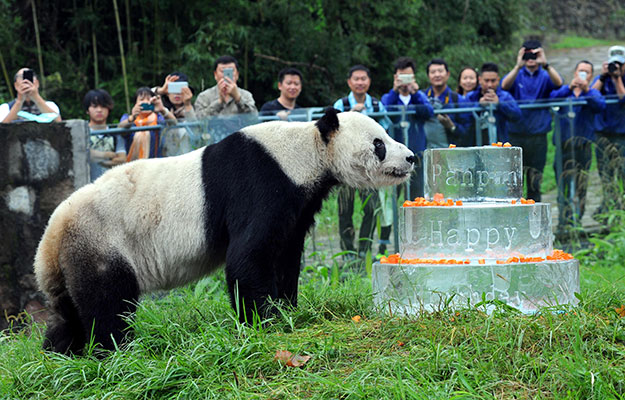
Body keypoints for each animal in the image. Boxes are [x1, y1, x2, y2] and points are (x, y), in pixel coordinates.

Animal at [34, 107, 414, 354]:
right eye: (379, 143)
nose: (410, 158)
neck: (306, 151)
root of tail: (50, 237)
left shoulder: (297, 203)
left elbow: (285, 253)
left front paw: (287, 308)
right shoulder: (260, 181)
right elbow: (248, 255)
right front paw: (264, 320)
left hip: (73, 258)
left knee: (69, 313)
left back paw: (60, 353)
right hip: (102, 241)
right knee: (108, 301)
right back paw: (116, 349)